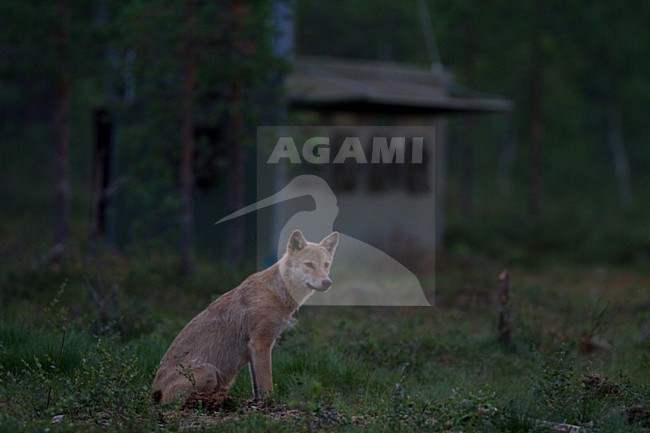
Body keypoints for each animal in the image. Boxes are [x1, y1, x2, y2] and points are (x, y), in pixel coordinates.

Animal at [151, 229, 339, 404]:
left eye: (326, 265)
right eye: (309, 264)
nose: (327, 282)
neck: (277, 294)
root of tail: (153, 394)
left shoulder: (253, 350)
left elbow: (257, 388)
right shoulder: (261, 344)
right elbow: (267, 384)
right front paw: (270, 403)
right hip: (209, 370)